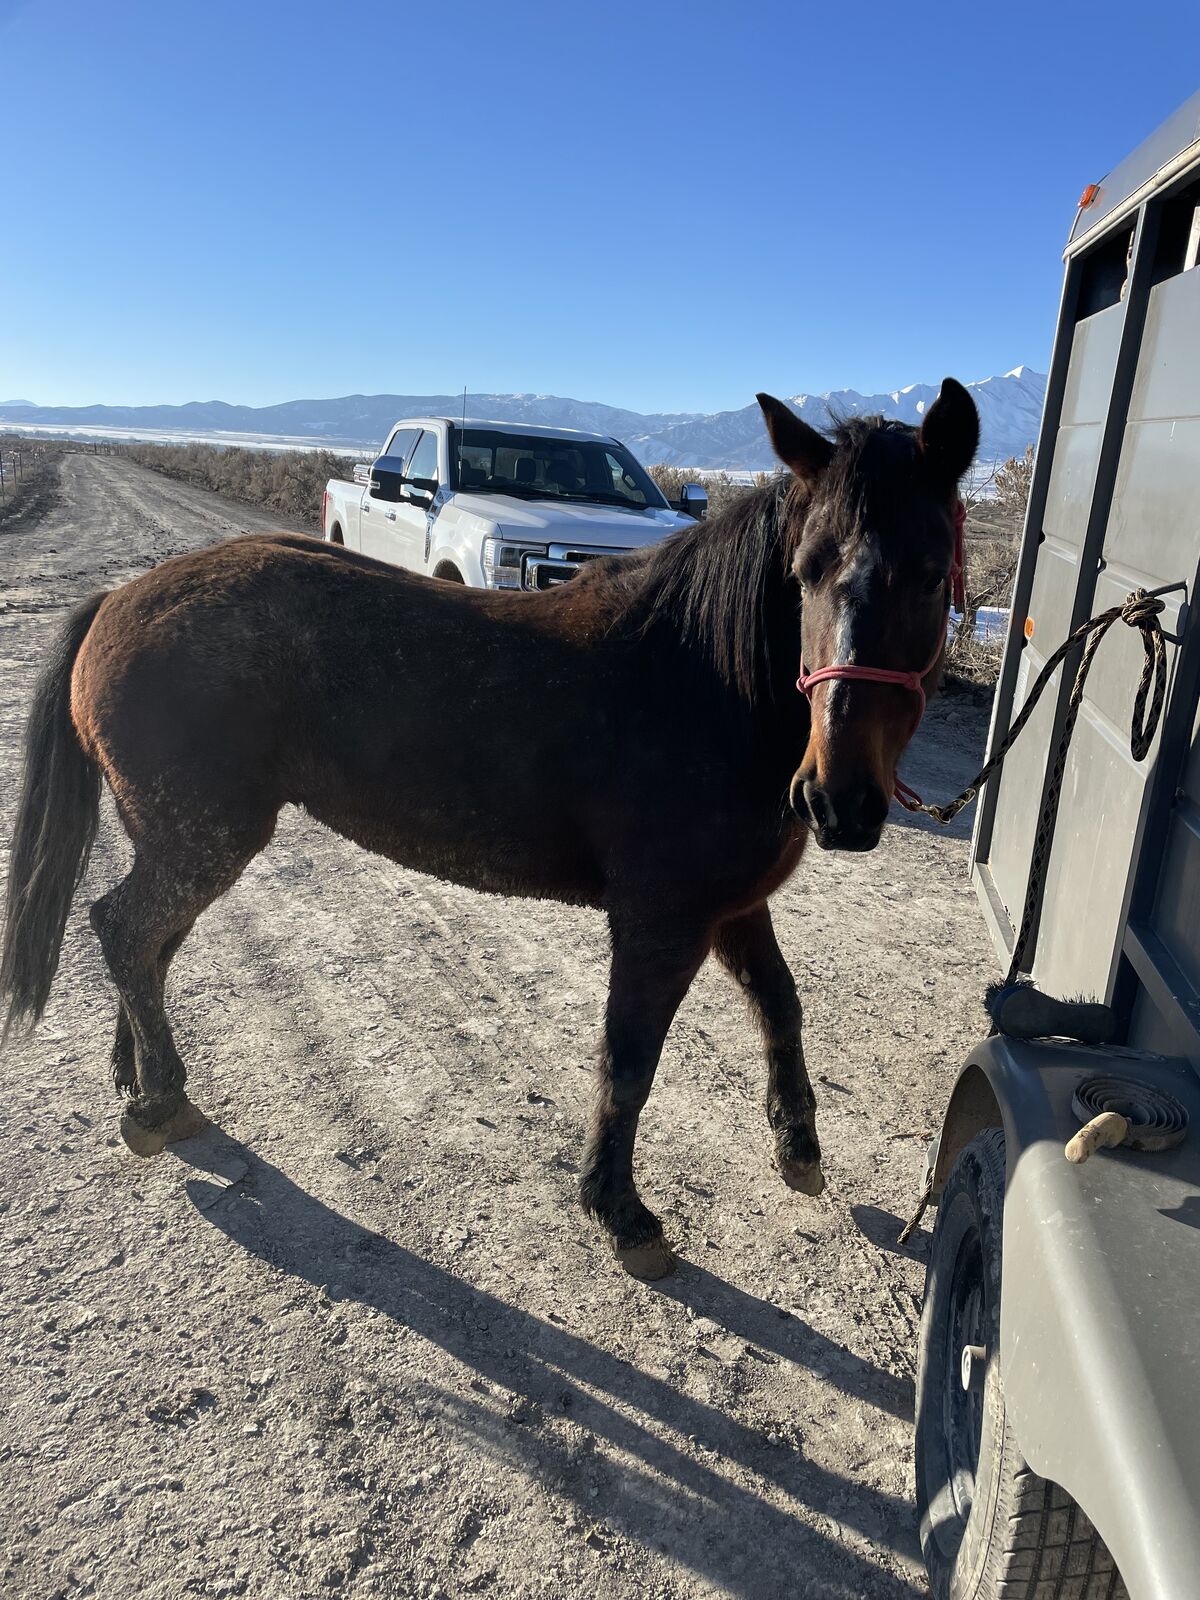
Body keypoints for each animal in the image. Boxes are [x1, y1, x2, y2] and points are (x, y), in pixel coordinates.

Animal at [0, 381, 978, 1279]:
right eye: (804, 570)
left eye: (933, 571)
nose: (838, 800)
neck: (706, 681)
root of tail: (119, 598)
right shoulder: (662, 922)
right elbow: (629, 1061)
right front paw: (621, 1212)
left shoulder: (732, 907)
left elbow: (780, 1005)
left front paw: (798, 1149)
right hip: (200, 839)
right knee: (127, 932)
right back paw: (161, 1102)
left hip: (178, 838)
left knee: (146, 945)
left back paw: (137, 1079)